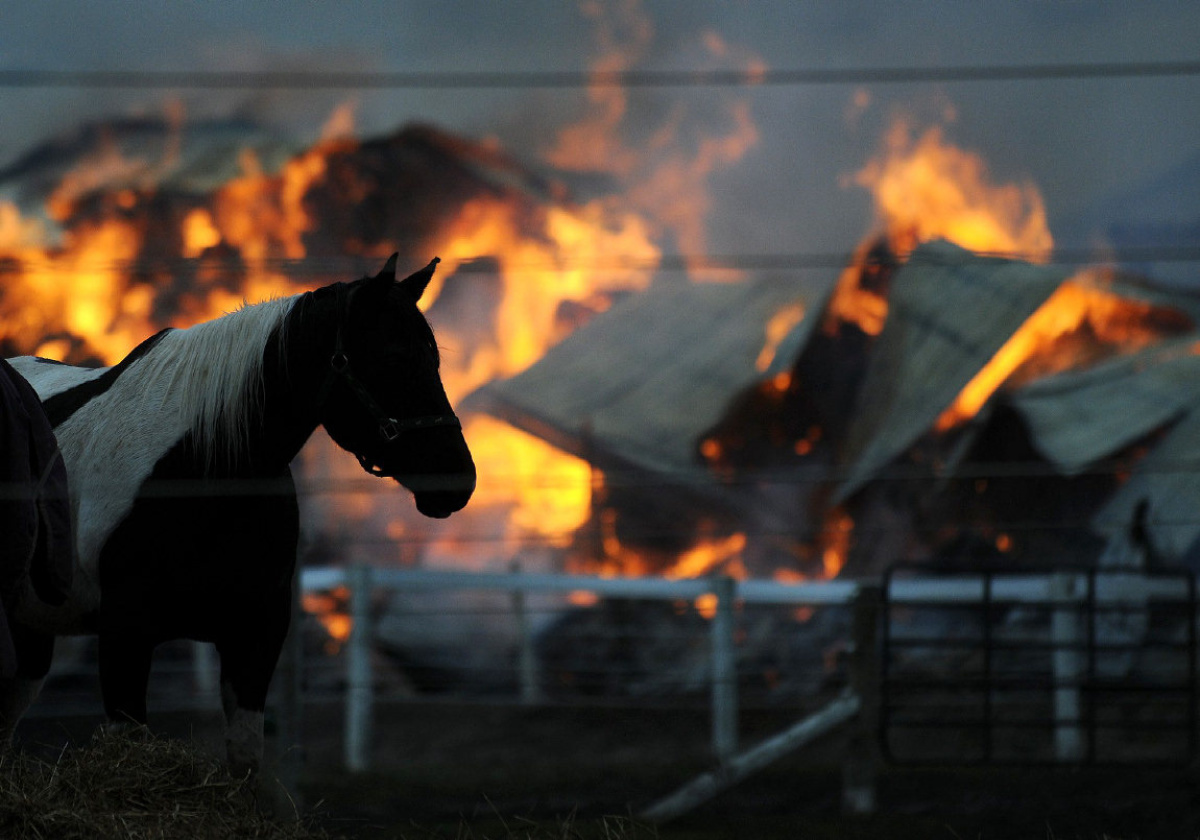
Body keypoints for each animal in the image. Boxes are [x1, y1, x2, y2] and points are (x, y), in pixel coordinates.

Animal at [1, 255, 477, 772]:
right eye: (393, 357)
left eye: (433, 357)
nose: (458, 478)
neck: (206, 469)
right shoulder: (124, 635)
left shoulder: (256, 636)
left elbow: (244, 756)